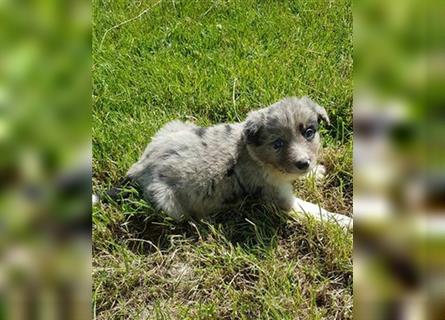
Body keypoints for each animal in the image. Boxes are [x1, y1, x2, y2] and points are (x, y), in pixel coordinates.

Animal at [104, 97, 350, 230]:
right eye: (277, 143)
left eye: (309, 133)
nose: (303, 164)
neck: (254, 153)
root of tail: (139, 168)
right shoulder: (281, 199)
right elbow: (317, 211)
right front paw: (345, 222)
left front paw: (315, 172)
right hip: (170, 203)